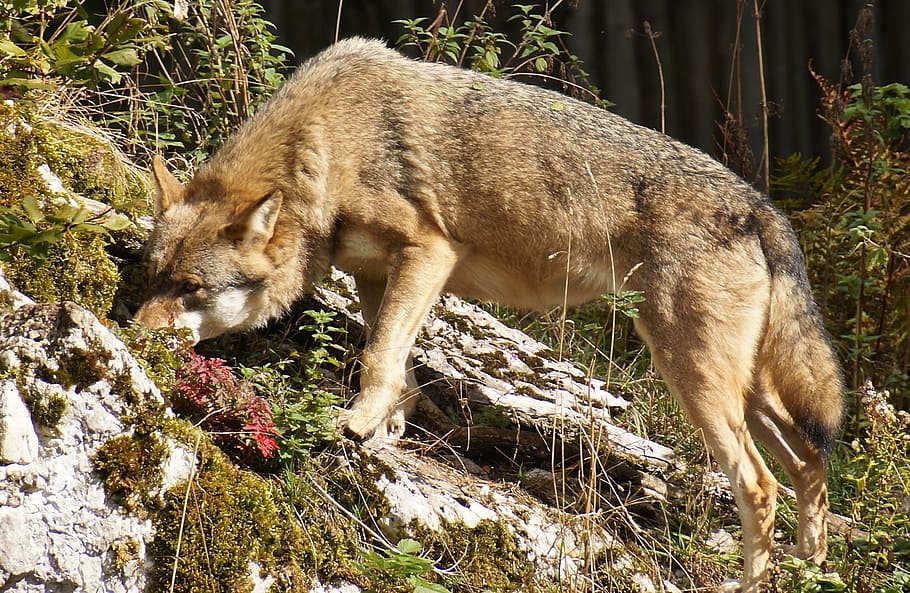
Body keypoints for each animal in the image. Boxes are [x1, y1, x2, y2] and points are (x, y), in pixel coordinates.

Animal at [136, 37, 844, 592]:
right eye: (152, 277)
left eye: (192, 288)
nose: (135, 334)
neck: (327, 145)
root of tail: (762, 205)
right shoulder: (378, 273)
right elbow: (393, 359)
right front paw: (391, 426)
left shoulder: (428, 250)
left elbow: (378, 355)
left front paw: (359, 425)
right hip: (739, 388)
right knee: (811, 462)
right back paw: (809, 568)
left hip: (693, 378)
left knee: (761, 484)